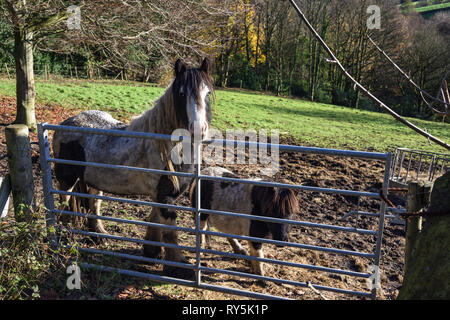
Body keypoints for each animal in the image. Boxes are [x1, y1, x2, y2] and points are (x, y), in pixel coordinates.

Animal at [51, 58, 214, 278]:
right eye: (181, 93)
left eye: (208, 93)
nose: (199, 130)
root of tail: (65, 123)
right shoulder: (165, 196)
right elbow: (170, 232)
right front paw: (177, 267)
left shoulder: (160, 194)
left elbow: (154, 219)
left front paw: (151, 251)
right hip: (66, 179)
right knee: (65, 201)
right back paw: (65, 233)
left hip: (93, 179)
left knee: (94, 202)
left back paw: (98, 234)